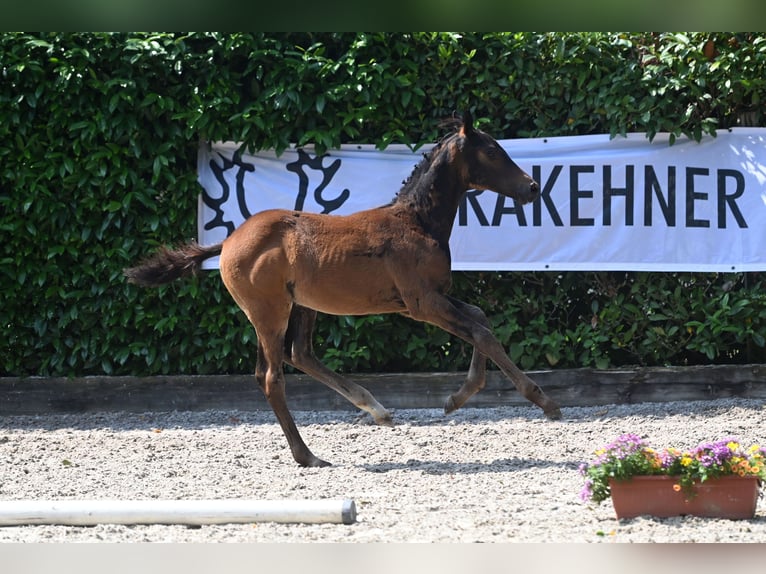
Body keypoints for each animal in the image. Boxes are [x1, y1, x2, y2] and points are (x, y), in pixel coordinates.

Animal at [126, 112, 564, 468]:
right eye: (491, 151)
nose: (531, 188)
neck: (417, 222)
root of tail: (230, 240)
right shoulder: (422, 303)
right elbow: (480, 331)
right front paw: (544, 401)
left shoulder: (425, 298)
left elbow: (479, 318)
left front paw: (456, 398)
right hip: (270, 311)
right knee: (271, 376)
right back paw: (308, 455)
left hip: (300, 306)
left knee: (299, 354)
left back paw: (375, 409)